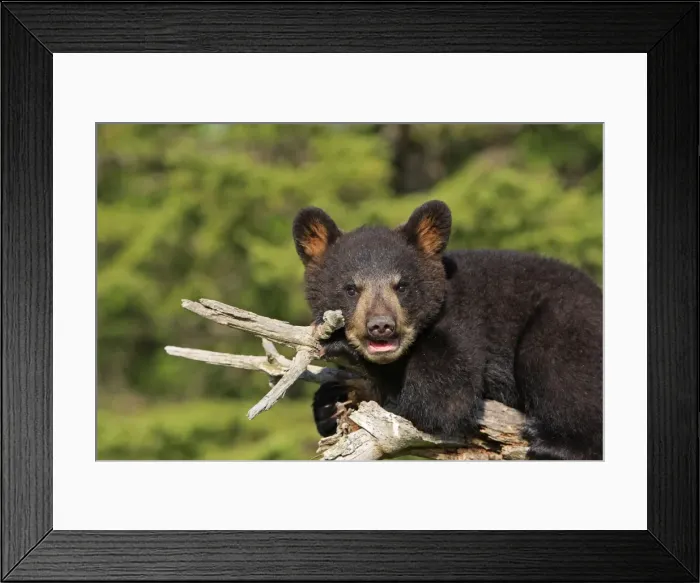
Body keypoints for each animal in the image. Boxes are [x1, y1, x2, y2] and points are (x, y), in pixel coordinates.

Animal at [293, 200, 603, 460]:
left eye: (402, 286)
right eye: (351, 288)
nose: (381, 326)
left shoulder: (461, 323)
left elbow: (440, 400)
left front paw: (345, 353)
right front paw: (329, 404)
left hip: (567, 319)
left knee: (557, 366)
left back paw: (554, 443)